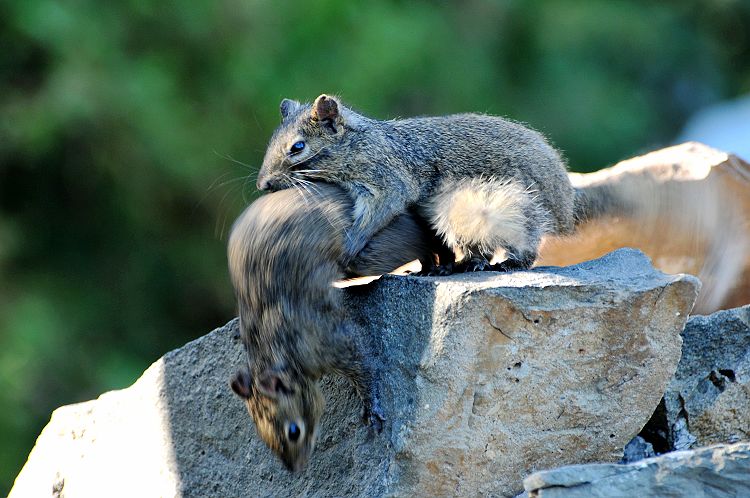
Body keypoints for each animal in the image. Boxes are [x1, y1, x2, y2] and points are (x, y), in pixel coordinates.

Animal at [226, 180, 432, 470]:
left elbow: (364, 364)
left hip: (374, 249)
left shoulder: (329, 339)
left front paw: (372, 407)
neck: (273, 348)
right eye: (259, 432)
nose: (296, 470)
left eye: (294, 431)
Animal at [256, 93, 580, 272]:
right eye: (271, 139)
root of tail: (563, 203)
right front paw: (433, 267)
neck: (360, 144)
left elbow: (375, 218)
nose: (263, 184)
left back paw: (506, 263)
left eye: (297, 147)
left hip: (512, 210)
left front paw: (350, 244)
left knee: (527, 245)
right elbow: (432, 246)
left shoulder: (390, 184)